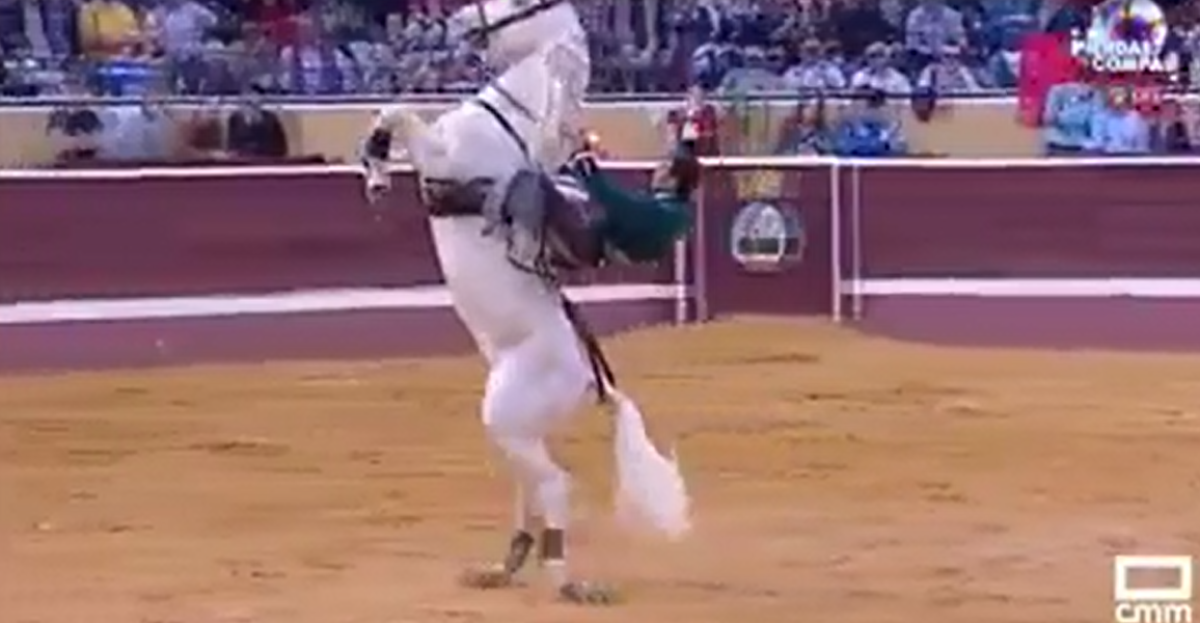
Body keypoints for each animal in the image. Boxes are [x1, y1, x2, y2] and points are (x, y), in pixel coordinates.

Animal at [360, 0, 691, 604]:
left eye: (517, 5)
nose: (457, 21)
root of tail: (589, 380)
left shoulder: (441, 154)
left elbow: (398, 113)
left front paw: (374, 169)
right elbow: (395, 111)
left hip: (505, 417)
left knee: (556, 485)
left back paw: (566, 580)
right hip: (522, 430)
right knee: (531, 488)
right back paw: (504, 565)